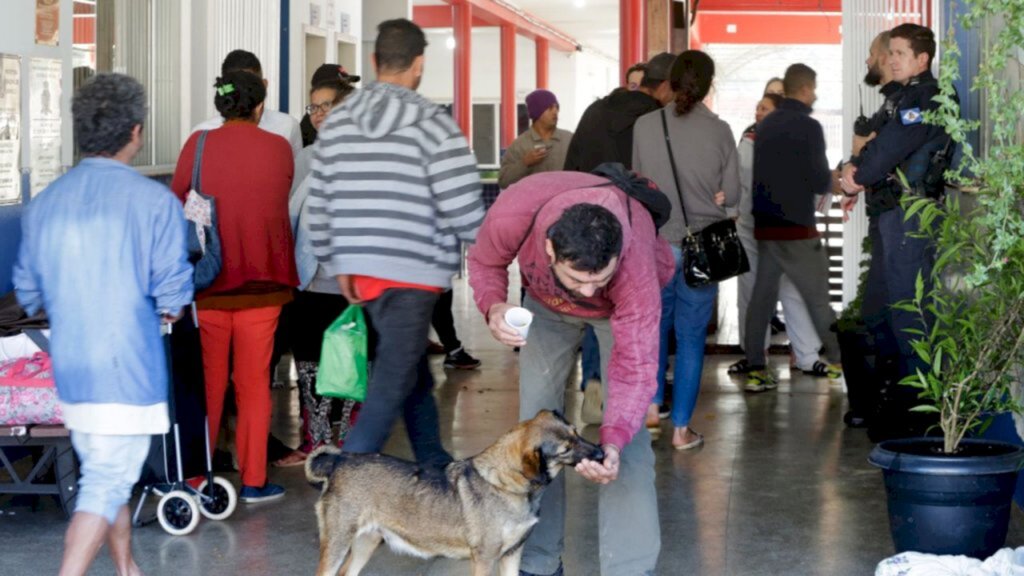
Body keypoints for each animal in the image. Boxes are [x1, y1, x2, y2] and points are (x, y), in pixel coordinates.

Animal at [307, 407, 602, 573]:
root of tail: (339, 461)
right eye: (566, 449)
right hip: (337, 544)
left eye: (576, 432)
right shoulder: (485, 558)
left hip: (365, 543)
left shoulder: (512, 555)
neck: (504, 485)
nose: (601, 453)